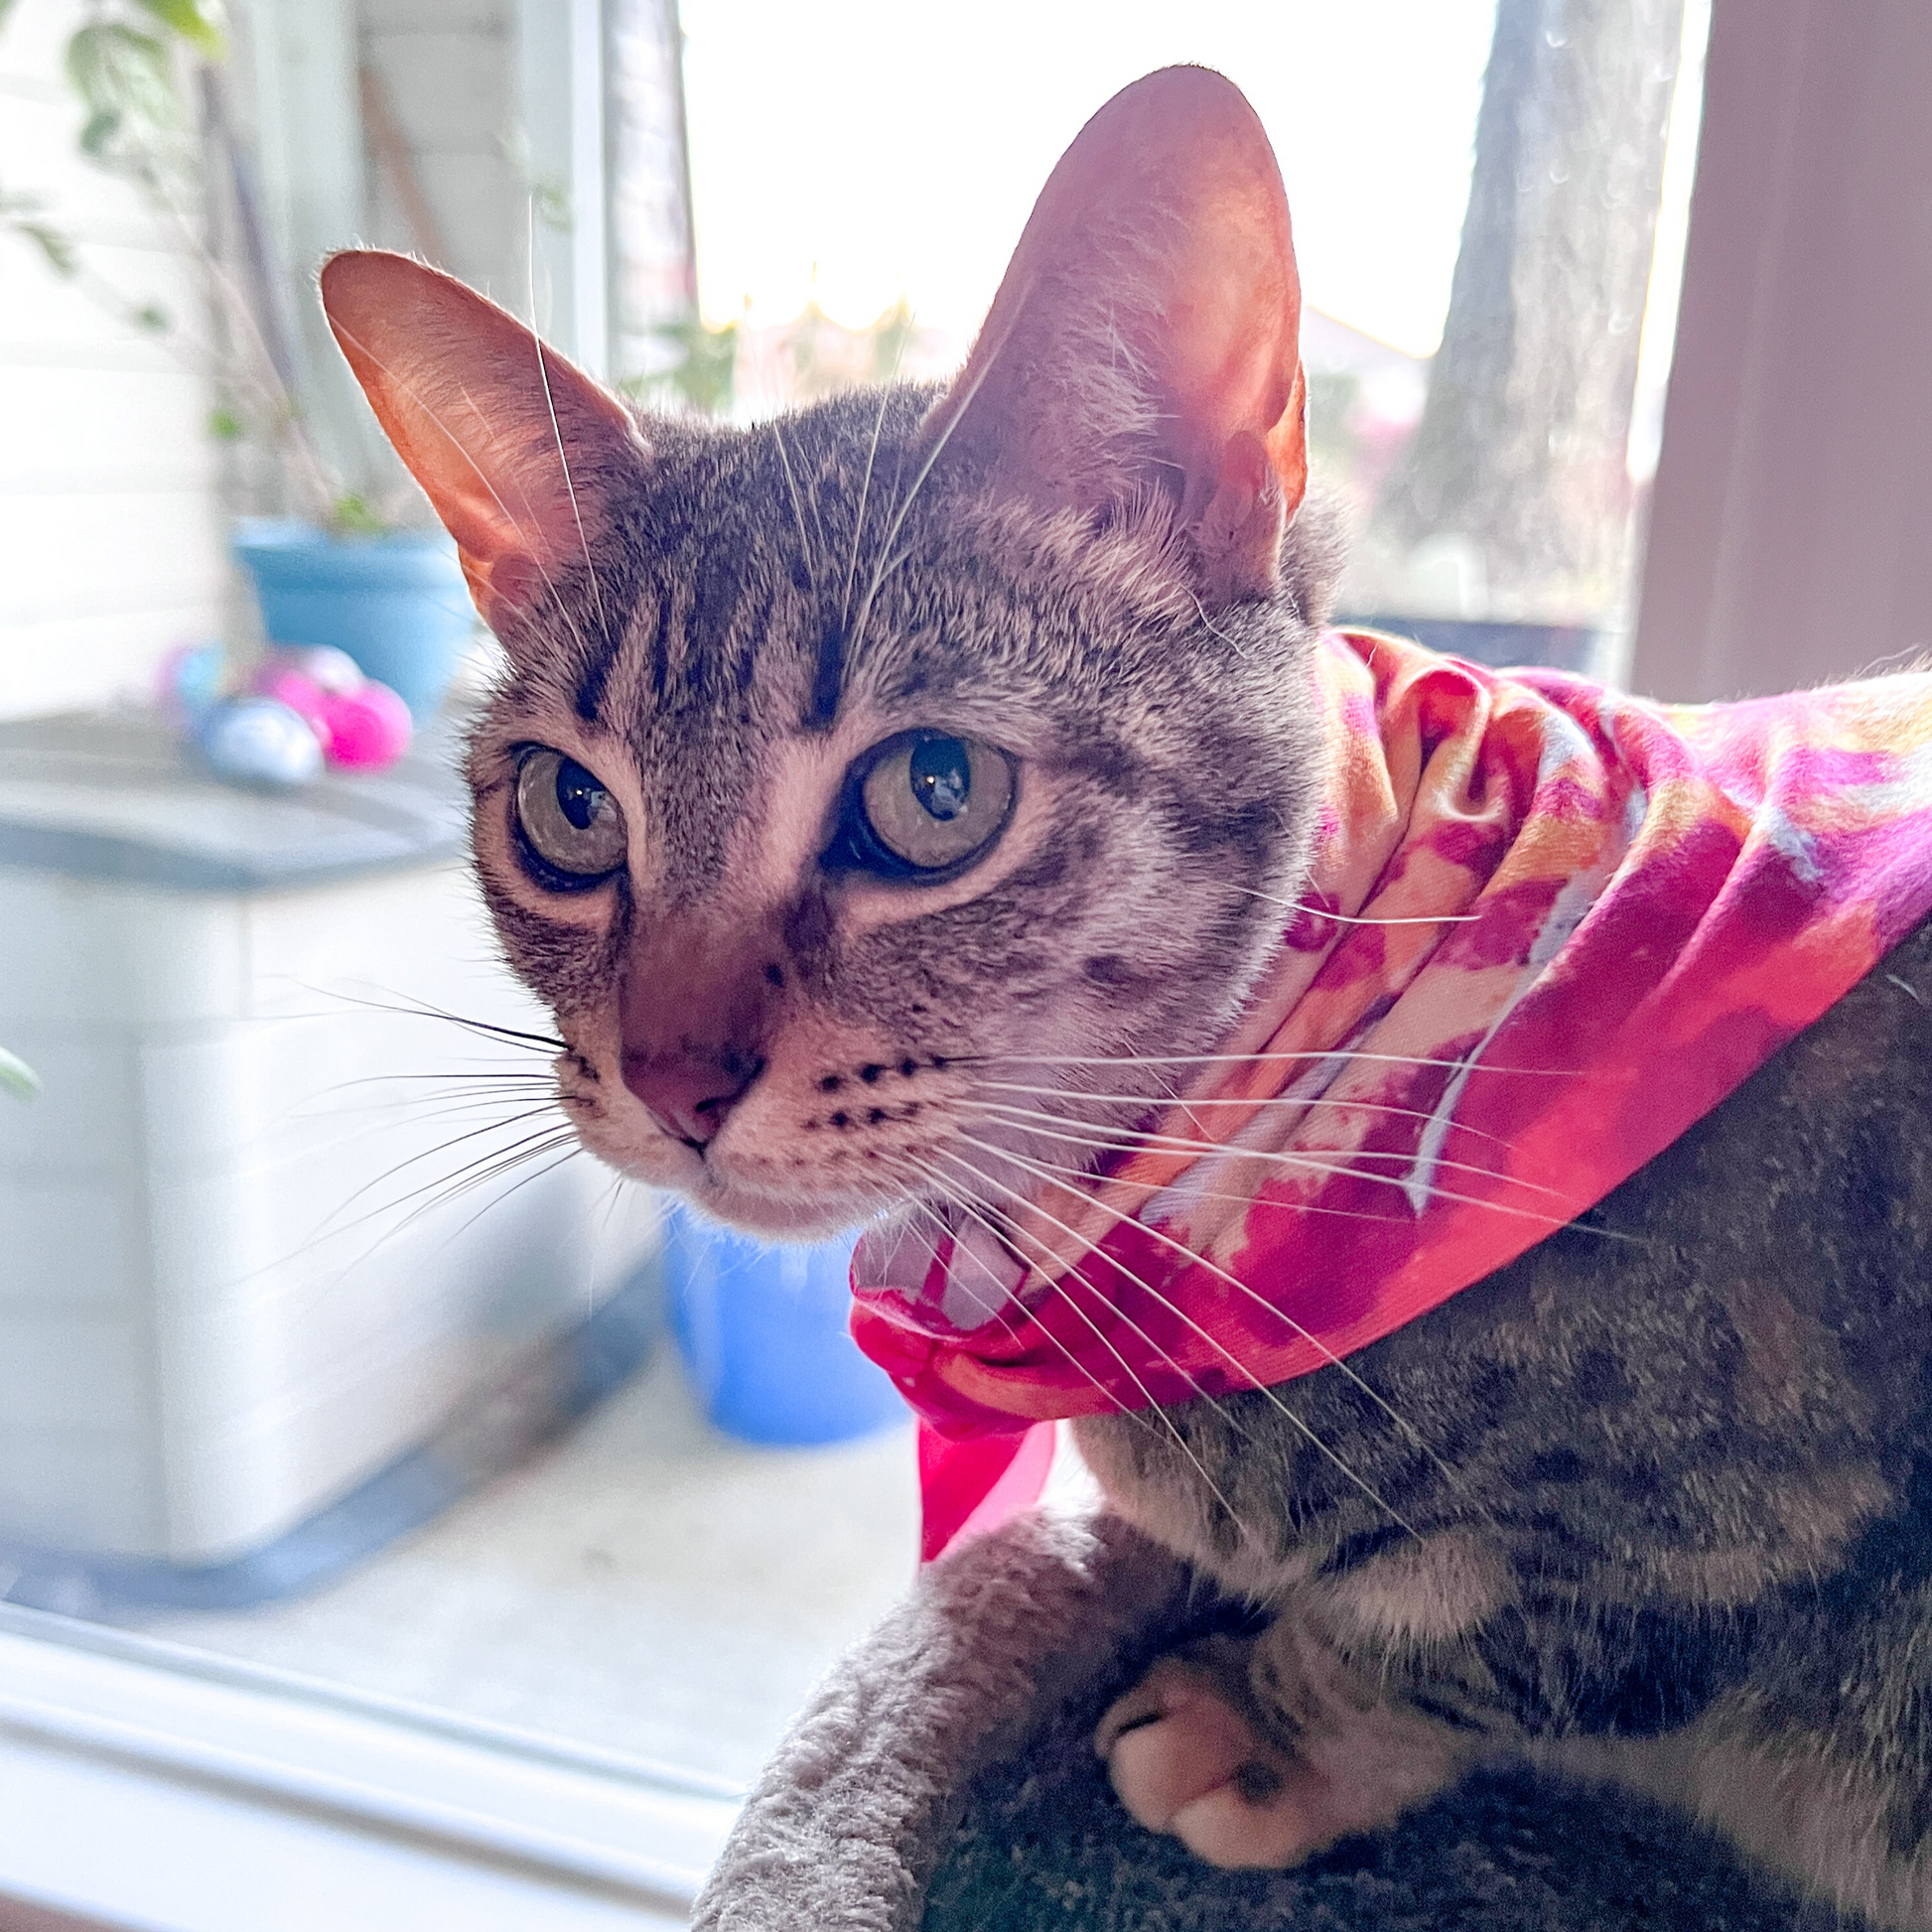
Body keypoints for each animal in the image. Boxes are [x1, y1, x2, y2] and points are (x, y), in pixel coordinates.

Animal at [324, 60, 1932, 1932]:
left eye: (934, 789)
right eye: (570, 811)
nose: (671, 1075)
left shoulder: (1730, 1527)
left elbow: (1470, 1651)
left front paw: (1266, 1720)